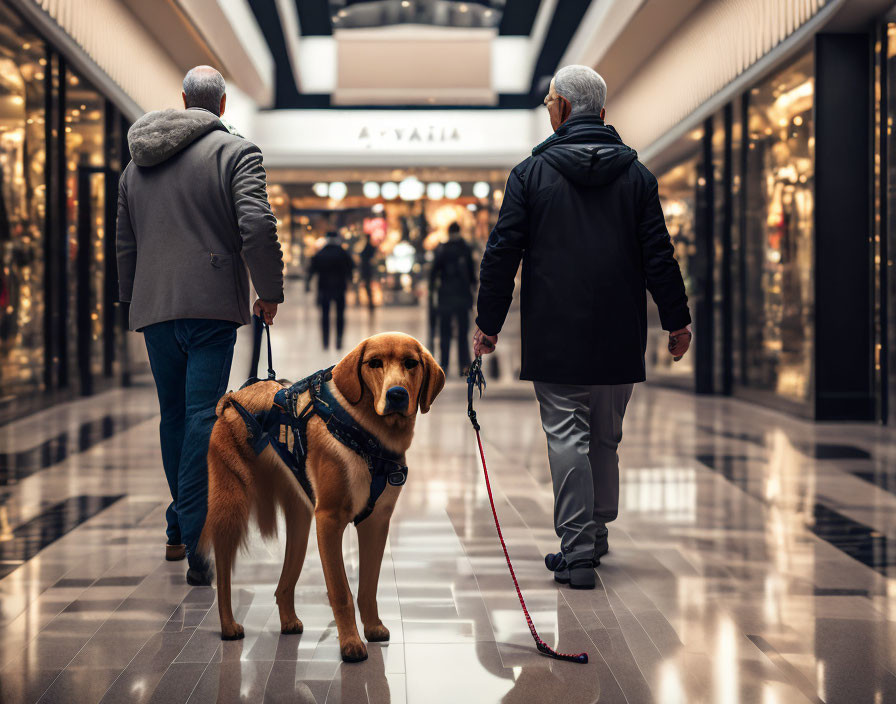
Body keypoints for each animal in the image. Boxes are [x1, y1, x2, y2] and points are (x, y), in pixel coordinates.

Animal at [200, 332, 444, 664]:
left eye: (411, 363)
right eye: (374, 363)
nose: (397, 395)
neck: (369, 433)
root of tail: (234, 397)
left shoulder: (376, 523)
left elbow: (368, 586)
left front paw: (373, 627)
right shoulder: (329, 520)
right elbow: (341, 590)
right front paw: (351, 643)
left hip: (301, 521)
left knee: (284, 582)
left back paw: (288, 621)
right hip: (232, 506)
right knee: (223, 573)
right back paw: (228, 625)